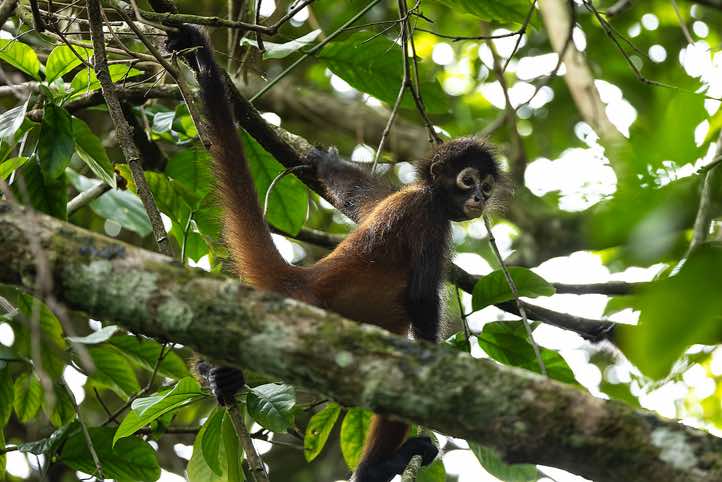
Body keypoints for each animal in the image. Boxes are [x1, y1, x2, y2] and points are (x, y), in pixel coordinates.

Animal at [166, 26, 508, 482]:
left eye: (486, 187)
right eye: (468, 180)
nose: (478, 199)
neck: (429, 193)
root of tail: (302, 278)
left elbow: (356, 196)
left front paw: (322, 161)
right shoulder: (427, 214)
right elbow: (421, 300)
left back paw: (216, 375)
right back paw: (375, 469)